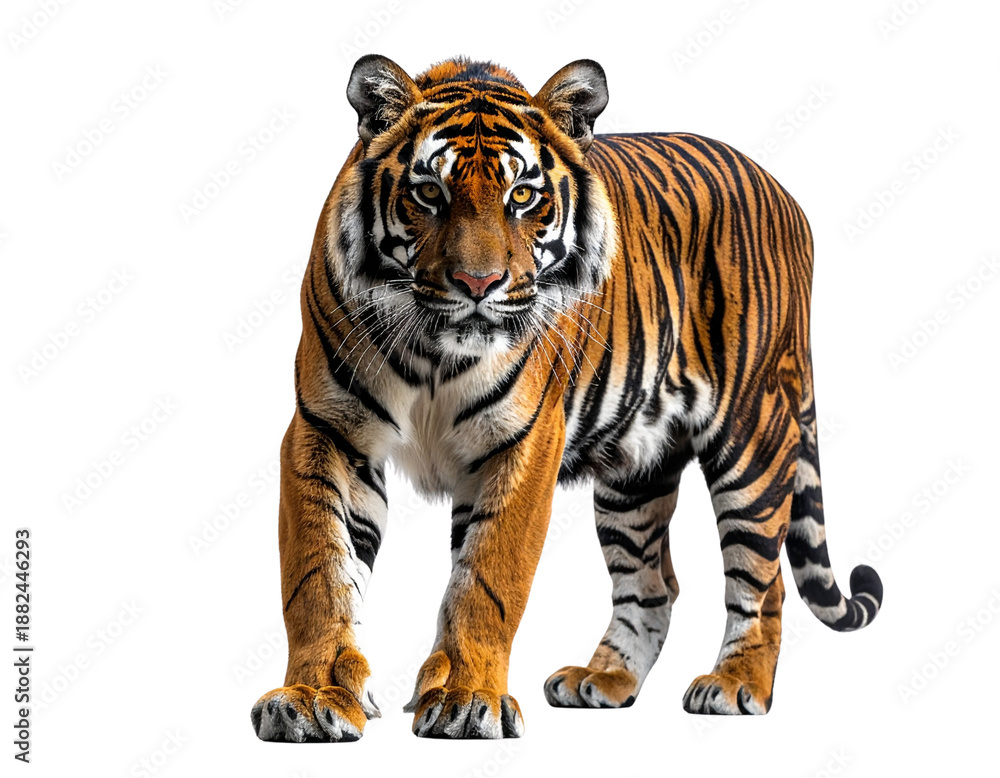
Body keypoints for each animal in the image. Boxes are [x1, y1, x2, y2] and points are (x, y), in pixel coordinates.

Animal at [250, 54, 883, 742]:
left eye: (522, 196)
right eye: (429, 194)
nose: (478, 283)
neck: (434, 351)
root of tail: (782, 190)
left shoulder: (524, 441)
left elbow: (488, 578)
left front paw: (468, 699)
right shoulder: (327, 431)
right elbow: (318, 575)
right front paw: (312, 698)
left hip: (753, 436)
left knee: (763, 581)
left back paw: (736, 683)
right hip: (634, 473)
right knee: (653, 585)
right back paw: (603, 680)